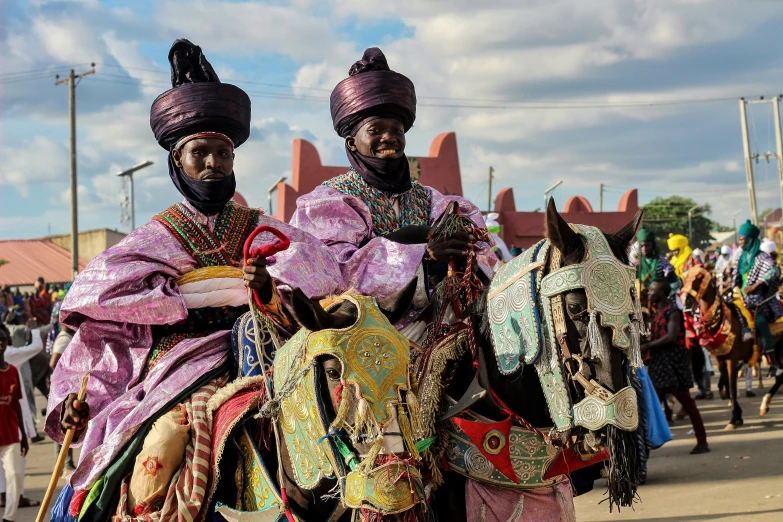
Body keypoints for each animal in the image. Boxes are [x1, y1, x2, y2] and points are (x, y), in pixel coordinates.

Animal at [684, 266, 756, 428]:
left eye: (699, 277)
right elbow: (726, 385)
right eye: (686, 276)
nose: (686, 301)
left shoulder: (732, 359)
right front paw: (735, 410)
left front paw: (735, 418)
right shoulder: (719, 358)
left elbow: (732, 388)